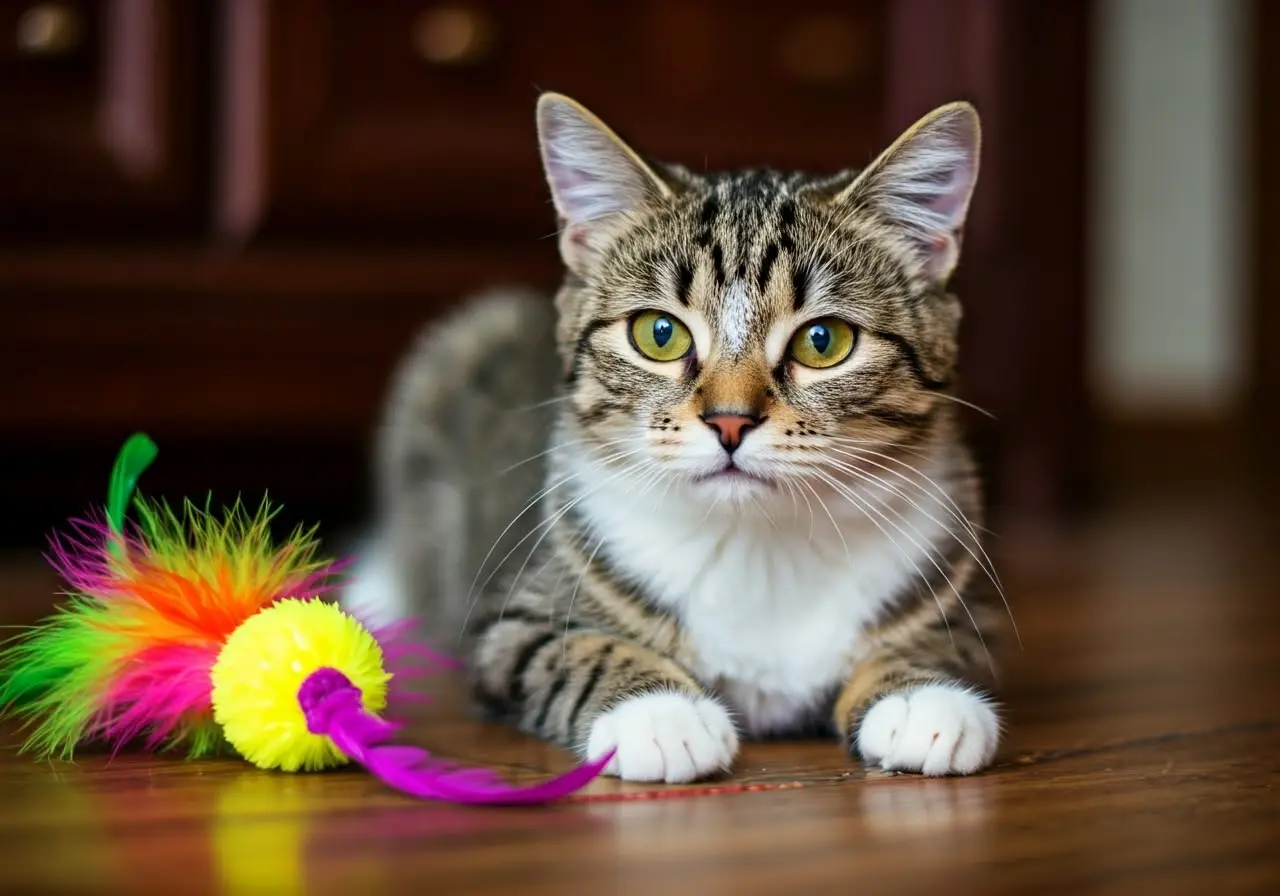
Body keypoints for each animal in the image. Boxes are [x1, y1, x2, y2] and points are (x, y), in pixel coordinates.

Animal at [343, 88, 1008, 778]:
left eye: (823, 341)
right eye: (659, 334)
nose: (729, 419)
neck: (758, 547)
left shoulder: (959, 595)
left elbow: (944, 643)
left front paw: (923, 699)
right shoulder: (509, 623)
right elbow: (569, 651)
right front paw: (660, 713)